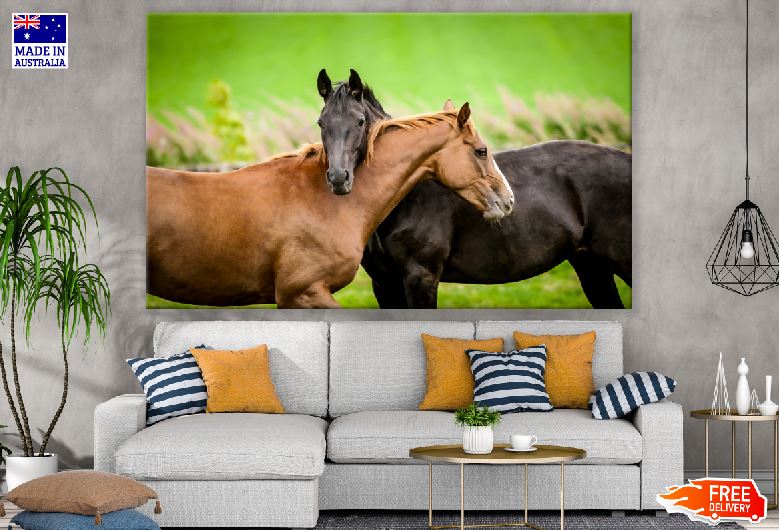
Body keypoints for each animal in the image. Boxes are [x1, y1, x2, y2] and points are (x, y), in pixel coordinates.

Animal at [316, 71, 632, 309]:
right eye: (321, 122)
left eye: (359, 121)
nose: (338, 178)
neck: (405, 200)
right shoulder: (383, 282)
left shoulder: (421, 277)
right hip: (591, 266)